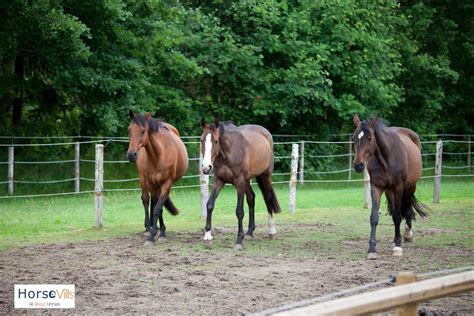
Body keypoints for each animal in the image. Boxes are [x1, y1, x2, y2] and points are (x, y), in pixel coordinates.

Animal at [129, 110, 190, 246]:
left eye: (143, 131)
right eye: (129, 130)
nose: (131, 154)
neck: (158, 155)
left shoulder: (166, 184)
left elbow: (158, 208)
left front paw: (159, 233)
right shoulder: (151, 183)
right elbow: (156, 206)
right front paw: (153, 234)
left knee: (153, 202)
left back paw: (154, 227)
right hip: (143, 179)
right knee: (146, 200)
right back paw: (148, 227)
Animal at [198, 117, 280, 248]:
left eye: (216, 141)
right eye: (201, 140)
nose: (206, 167)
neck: (228, 152)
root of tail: (265, 132)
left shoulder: (239, 181)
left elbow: (239, 211)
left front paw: (239, 240)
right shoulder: (219, 180)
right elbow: (210, 205)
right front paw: (207, 237)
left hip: (265, 175)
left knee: (268, 198)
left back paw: (272, 231)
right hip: (247, 181)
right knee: (251, 198)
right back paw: (250, 232)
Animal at [354, 115, 428, 260]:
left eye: (369, 138)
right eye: (354, 138)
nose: (358, 165)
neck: (386, 158)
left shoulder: (399, 187)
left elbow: (398, 216)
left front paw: (398, 247)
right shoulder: (376, 188)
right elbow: (374, 217)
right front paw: (372, 249)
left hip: (410, 187)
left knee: (407, 207)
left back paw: (407, 234)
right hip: (390, 192)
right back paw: (395, 239)